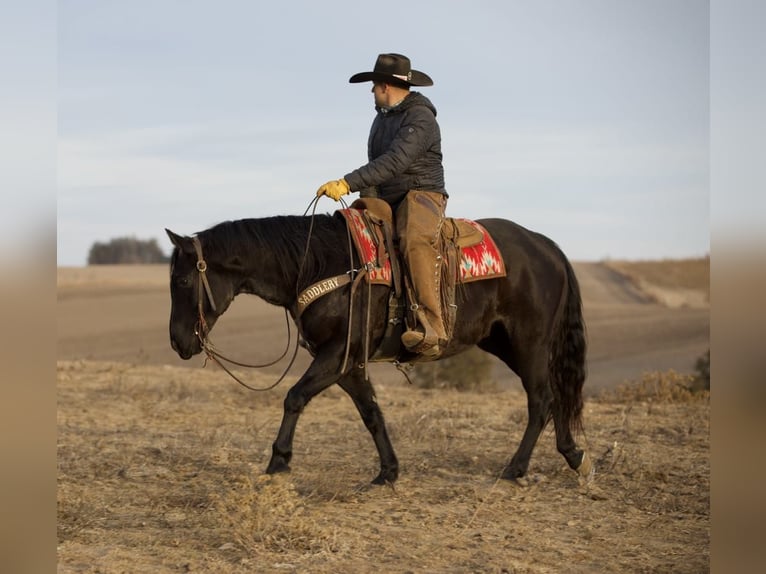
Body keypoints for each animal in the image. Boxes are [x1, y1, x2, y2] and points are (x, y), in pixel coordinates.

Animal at [166, 214, 592, 488]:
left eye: (183, 281)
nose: (177, 342)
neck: (320, 263)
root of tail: (547, 246)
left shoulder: (336, 354)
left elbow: (294, 397)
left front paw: (278, 461)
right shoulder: (348, 364)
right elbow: (371, 413)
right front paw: (388, 470)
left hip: (529, 343)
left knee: (541, 400)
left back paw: (516, 468)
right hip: (505, 343)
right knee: (555, 397)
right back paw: (573, 455)